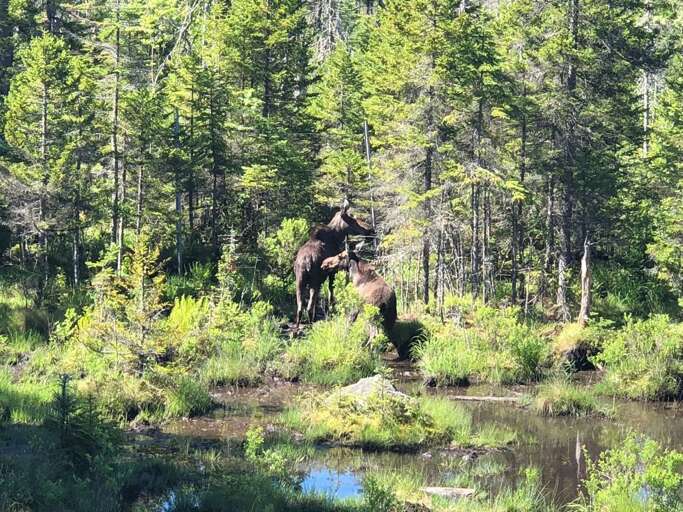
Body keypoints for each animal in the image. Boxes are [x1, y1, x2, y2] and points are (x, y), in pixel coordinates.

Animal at [294, 200, 374, 328]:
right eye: (352, 217)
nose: (370, 229)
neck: (338, 235)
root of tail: (305, 262)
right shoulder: (332, 272)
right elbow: (331, 292)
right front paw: (331, 310)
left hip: (299, 280)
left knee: (300, 307)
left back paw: (296, 330)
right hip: (314, 281)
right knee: (309, 307)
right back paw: (311, 325)